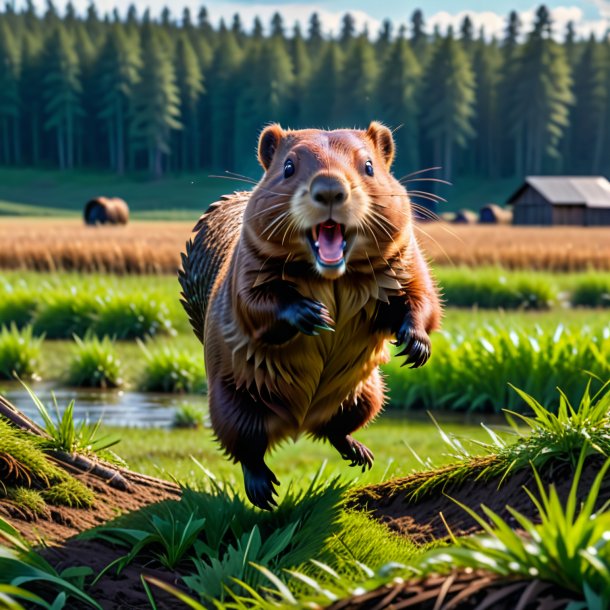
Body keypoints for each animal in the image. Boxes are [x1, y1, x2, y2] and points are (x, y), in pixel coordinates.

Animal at [178, 120, 440, 508]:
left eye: (369, 166)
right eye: (288, 167)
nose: (330, 189)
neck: (332, 277)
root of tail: (297, 424)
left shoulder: (406, 258)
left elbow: (422, 298)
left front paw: (415, 346)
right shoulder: (245, 267)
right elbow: (253, 306)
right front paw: (314, 314)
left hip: (367, 394)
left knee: (335, 429)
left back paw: (359, 452)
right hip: (231, 401)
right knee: (245, 447)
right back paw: (263, 489)